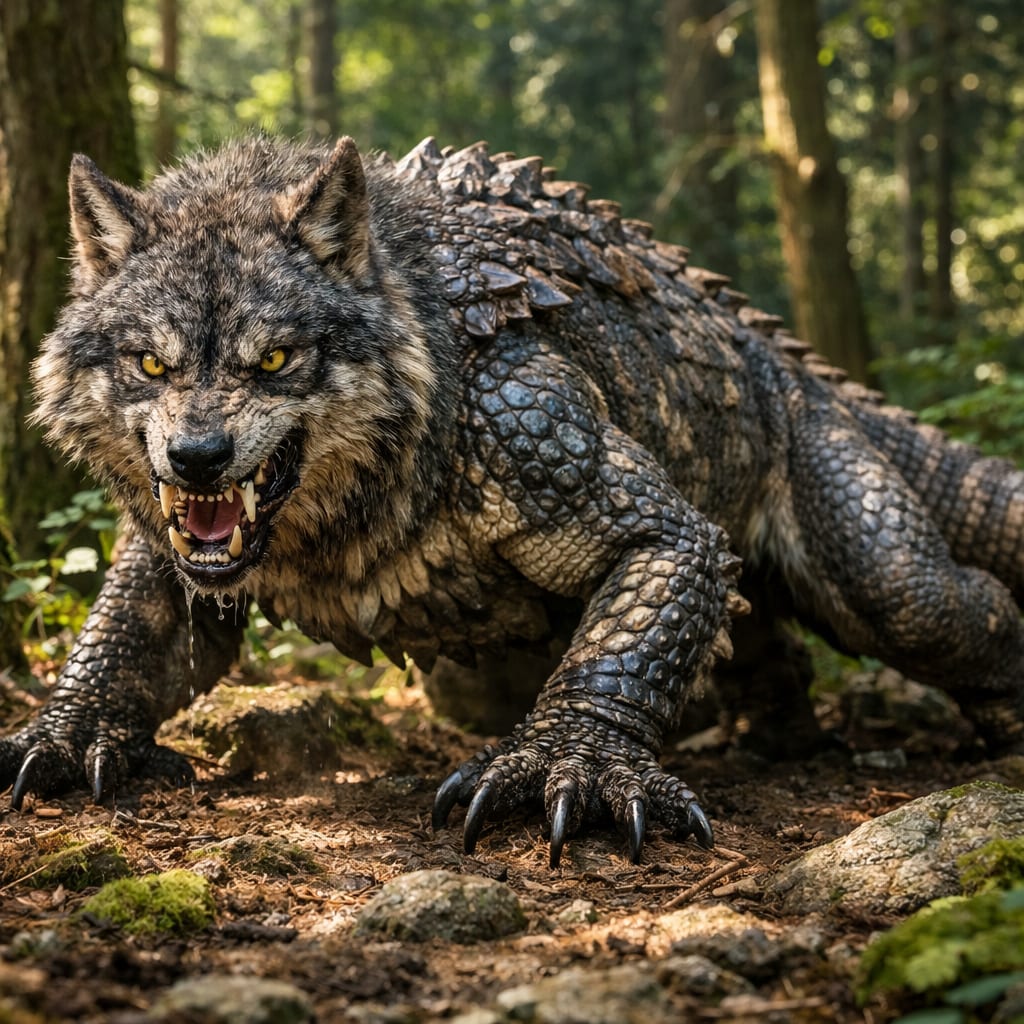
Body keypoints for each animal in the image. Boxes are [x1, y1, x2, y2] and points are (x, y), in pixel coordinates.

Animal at [2, 135, 1022, 866]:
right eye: (149, 363)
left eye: (277, 358)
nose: (198, 459)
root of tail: (777, 347)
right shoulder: (167, 552)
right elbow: (123, 644)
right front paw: (62, 735)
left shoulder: (539, 430)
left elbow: (637, 611)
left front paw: (572, 763)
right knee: (759, 640)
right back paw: (776, 736)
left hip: (885, 577)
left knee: (958, 608)